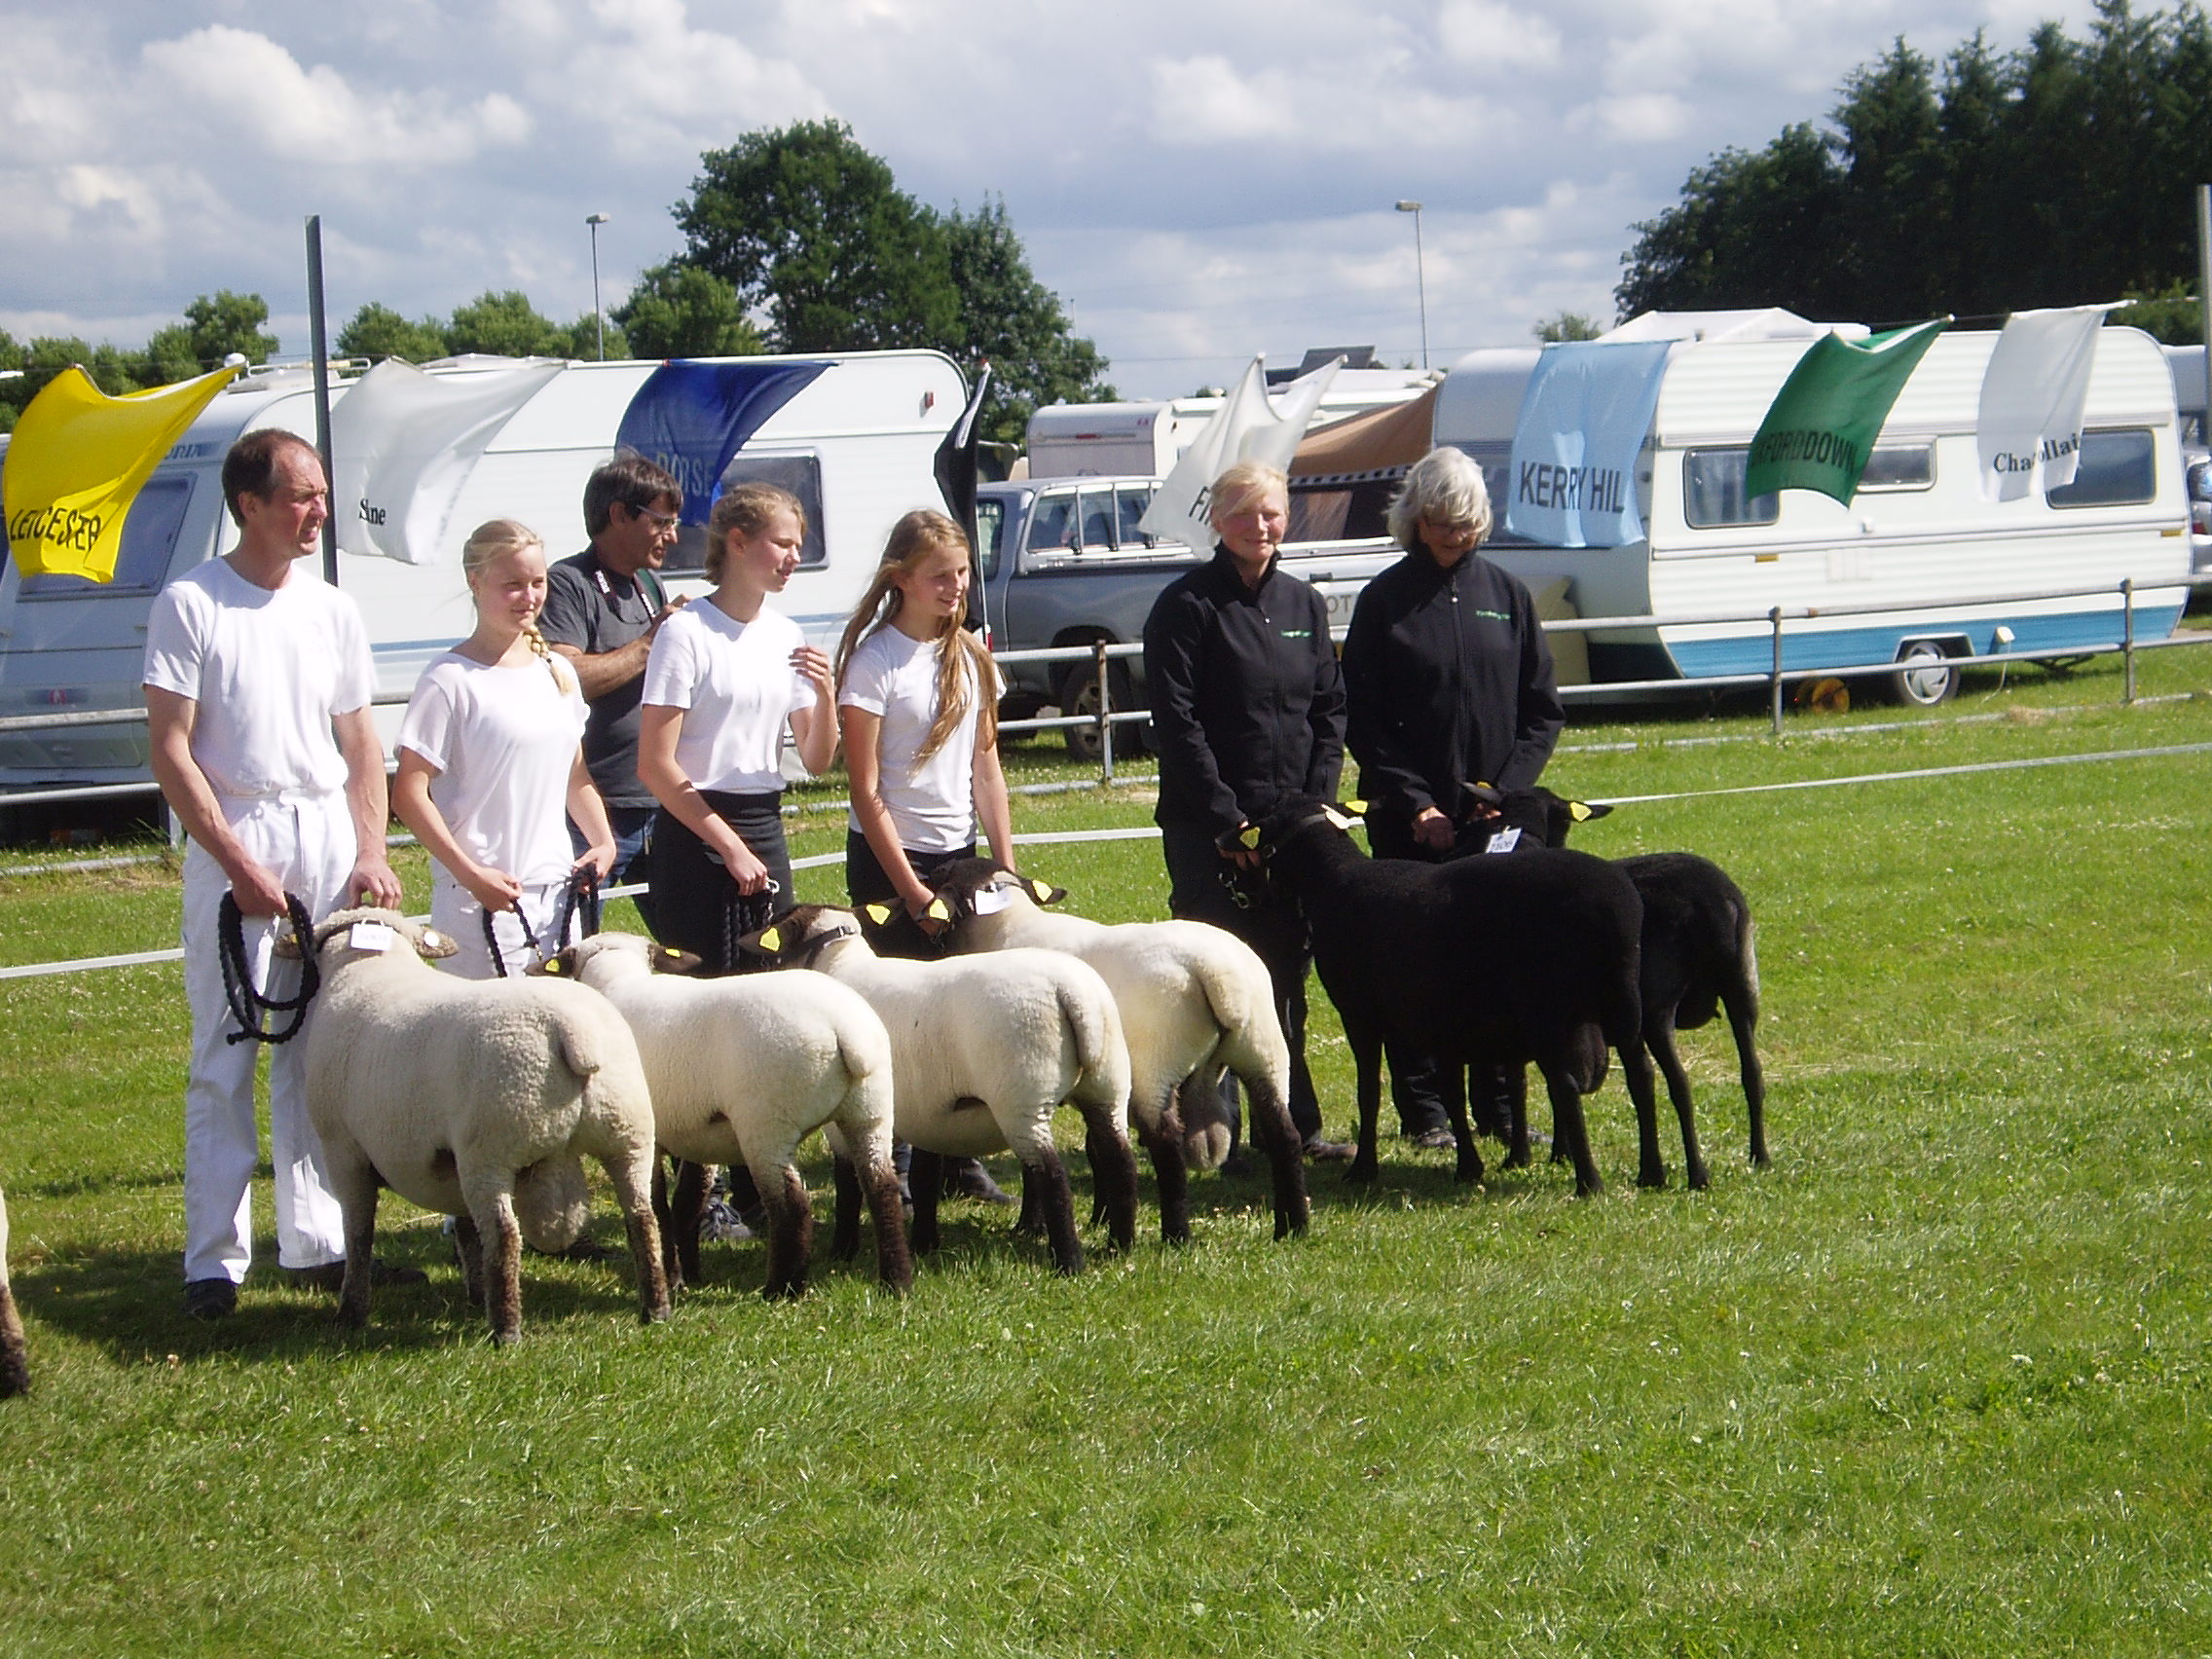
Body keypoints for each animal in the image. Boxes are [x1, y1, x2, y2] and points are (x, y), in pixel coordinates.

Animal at [285, 911, 668, 1353]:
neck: (365, 967)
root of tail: (571, 1032)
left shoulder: (343, 1150)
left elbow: (358, 1233)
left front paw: (351, 1312)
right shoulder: (447, 1163)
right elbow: (466, 1229)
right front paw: (475, 1291)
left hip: (490, 1148)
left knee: (504, 1235)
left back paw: (506, 1331)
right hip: (628, 1133)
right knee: (642, 1217)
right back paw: (656, 1309)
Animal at [539, 938, 911, 1300]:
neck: (618, 981)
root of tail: (845, 1030)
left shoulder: (648, 1137)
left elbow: (659, 1208)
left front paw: (673, 1279)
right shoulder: (694, 1136)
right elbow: (687, 1204)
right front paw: (689, 1275)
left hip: (765, 1124)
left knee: (792, 1206)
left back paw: (781, 1290)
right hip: (870, 1110)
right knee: (882, 1188)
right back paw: (896, 1283)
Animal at [747, 911, 1141, 1273]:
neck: (841, 966)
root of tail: (1071, 993)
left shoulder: (847, 1120)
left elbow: (849, 1185)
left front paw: (842, 1250)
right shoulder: (929, 1113)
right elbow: (923, 1178)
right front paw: (924, 1242)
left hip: (1022, 1096)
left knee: (1052, 1175)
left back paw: (1069, 1262)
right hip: (1107, 1083)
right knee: (1119, 1158)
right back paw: (1118, 1245)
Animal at [933, 863, 1309, 1238]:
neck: (1005, 926)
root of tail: (1217, 973)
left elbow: (1045, 1164)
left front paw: (1030, 1227)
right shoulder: (1099, 1086)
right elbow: (1098, 1149)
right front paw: (1101, 1216)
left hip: (1155, 1062)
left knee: (1167, 1142)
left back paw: (1176, 1235)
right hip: (1262, 1048)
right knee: (1284, 1134)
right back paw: (1292, 1228)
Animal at [1256, 800, 1663, 1194]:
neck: (1334, 880)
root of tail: (1614, 907)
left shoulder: (1360, 1015)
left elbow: (1369, 1092)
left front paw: (1363, 1169)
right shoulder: (1444, 1025)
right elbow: (1453, 1093)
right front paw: (1470, 1166)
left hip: (1550, 1013)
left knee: (1566, 1085)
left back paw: (1590, 1183)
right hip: (1622, 1001)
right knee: (1641, 1075)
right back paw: (1651, 1174)